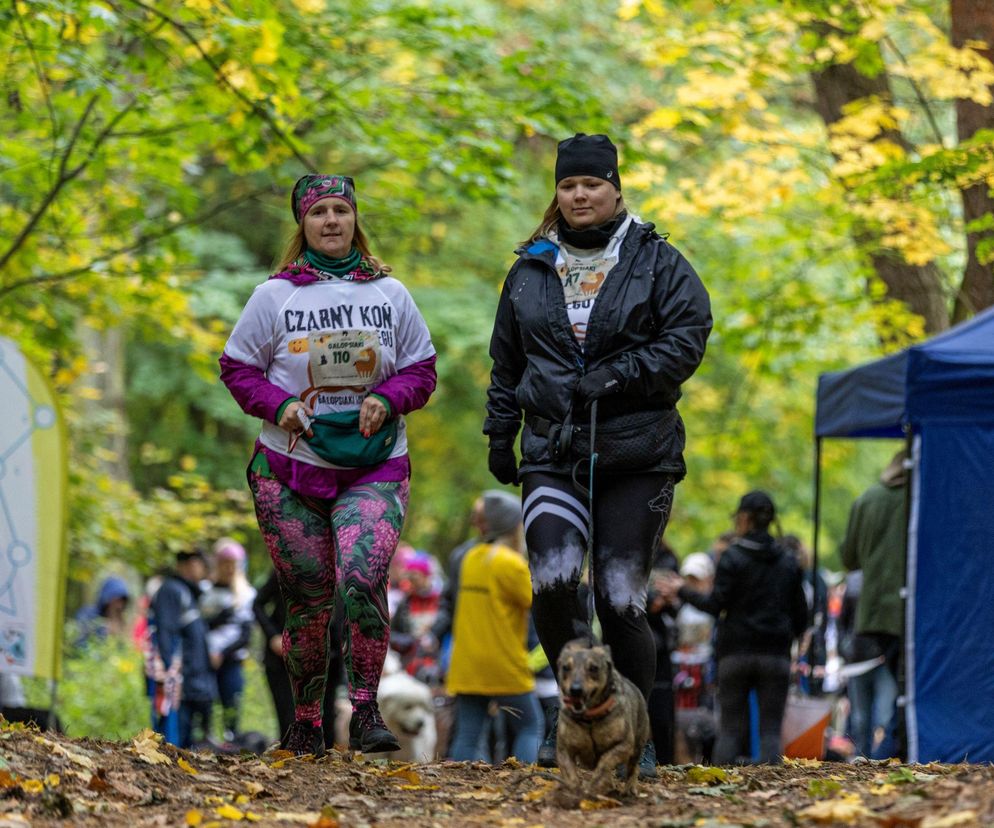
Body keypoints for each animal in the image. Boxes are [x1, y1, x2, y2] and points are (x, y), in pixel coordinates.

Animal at [556, 636, 648, 800]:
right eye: (566, 667)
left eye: (593, 668)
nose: (575, 690)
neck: (589, 718)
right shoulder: (563, 748)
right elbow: (569, 772)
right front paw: (574, 790)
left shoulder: (624, 744)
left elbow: (605, 762)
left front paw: (596, 786)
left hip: (638, 745)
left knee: (632, 768)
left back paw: (629, 789)